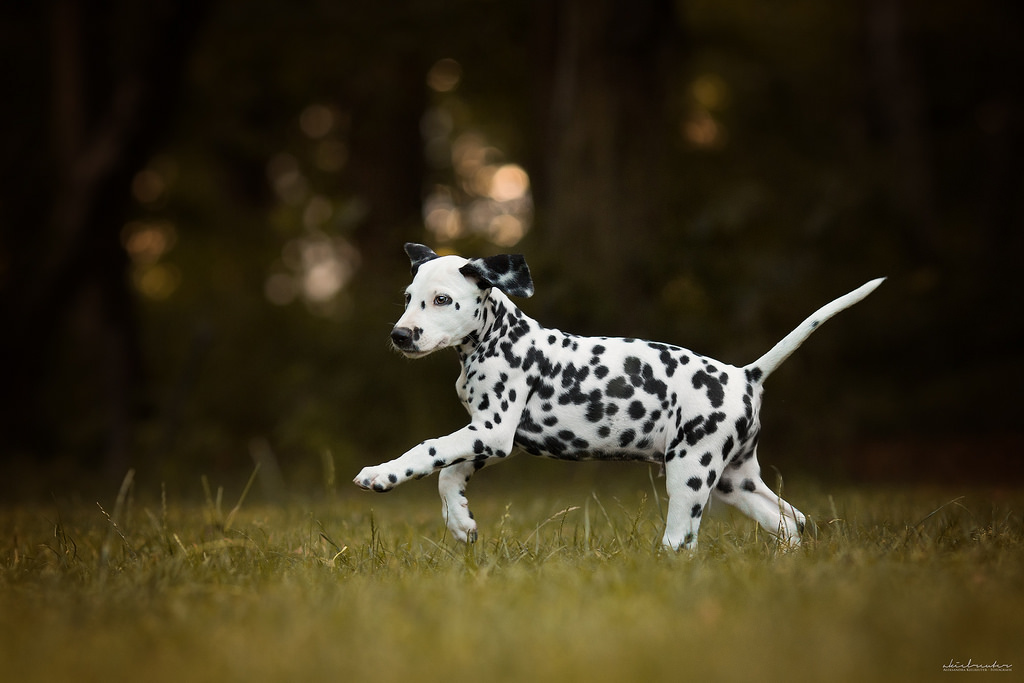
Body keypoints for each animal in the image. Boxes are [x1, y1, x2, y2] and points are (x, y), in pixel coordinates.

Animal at [354, 242, 880, 552]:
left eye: (442, 300)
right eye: (408, 297)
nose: (401, 335)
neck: (497, 338)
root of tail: (743, 376)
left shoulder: (492, 430)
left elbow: (428, 451)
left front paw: (381, 474)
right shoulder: (494, 438)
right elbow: (449, 473)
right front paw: (461, 523)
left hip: (690, 471)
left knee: (682, 539)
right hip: (736, 480)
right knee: (792, 520)